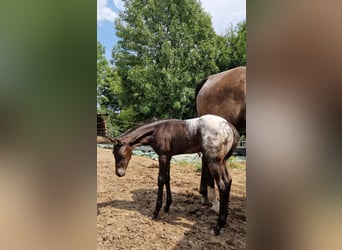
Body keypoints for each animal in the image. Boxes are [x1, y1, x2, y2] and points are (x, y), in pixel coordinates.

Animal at [111, 114, 239, 235]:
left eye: (120, 154)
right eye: (113, 153)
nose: (119, 173)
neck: (157, 130)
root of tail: (229, 125)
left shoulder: (162, 156)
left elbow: (161, 179)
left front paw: (156, 212)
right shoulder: (168, 156)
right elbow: (167, 178)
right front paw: (167, 206)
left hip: (213, 161)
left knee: (222, 185)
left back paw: (217, 227)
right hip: (223, 161)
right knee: (228, 181)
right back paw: (224, 220)